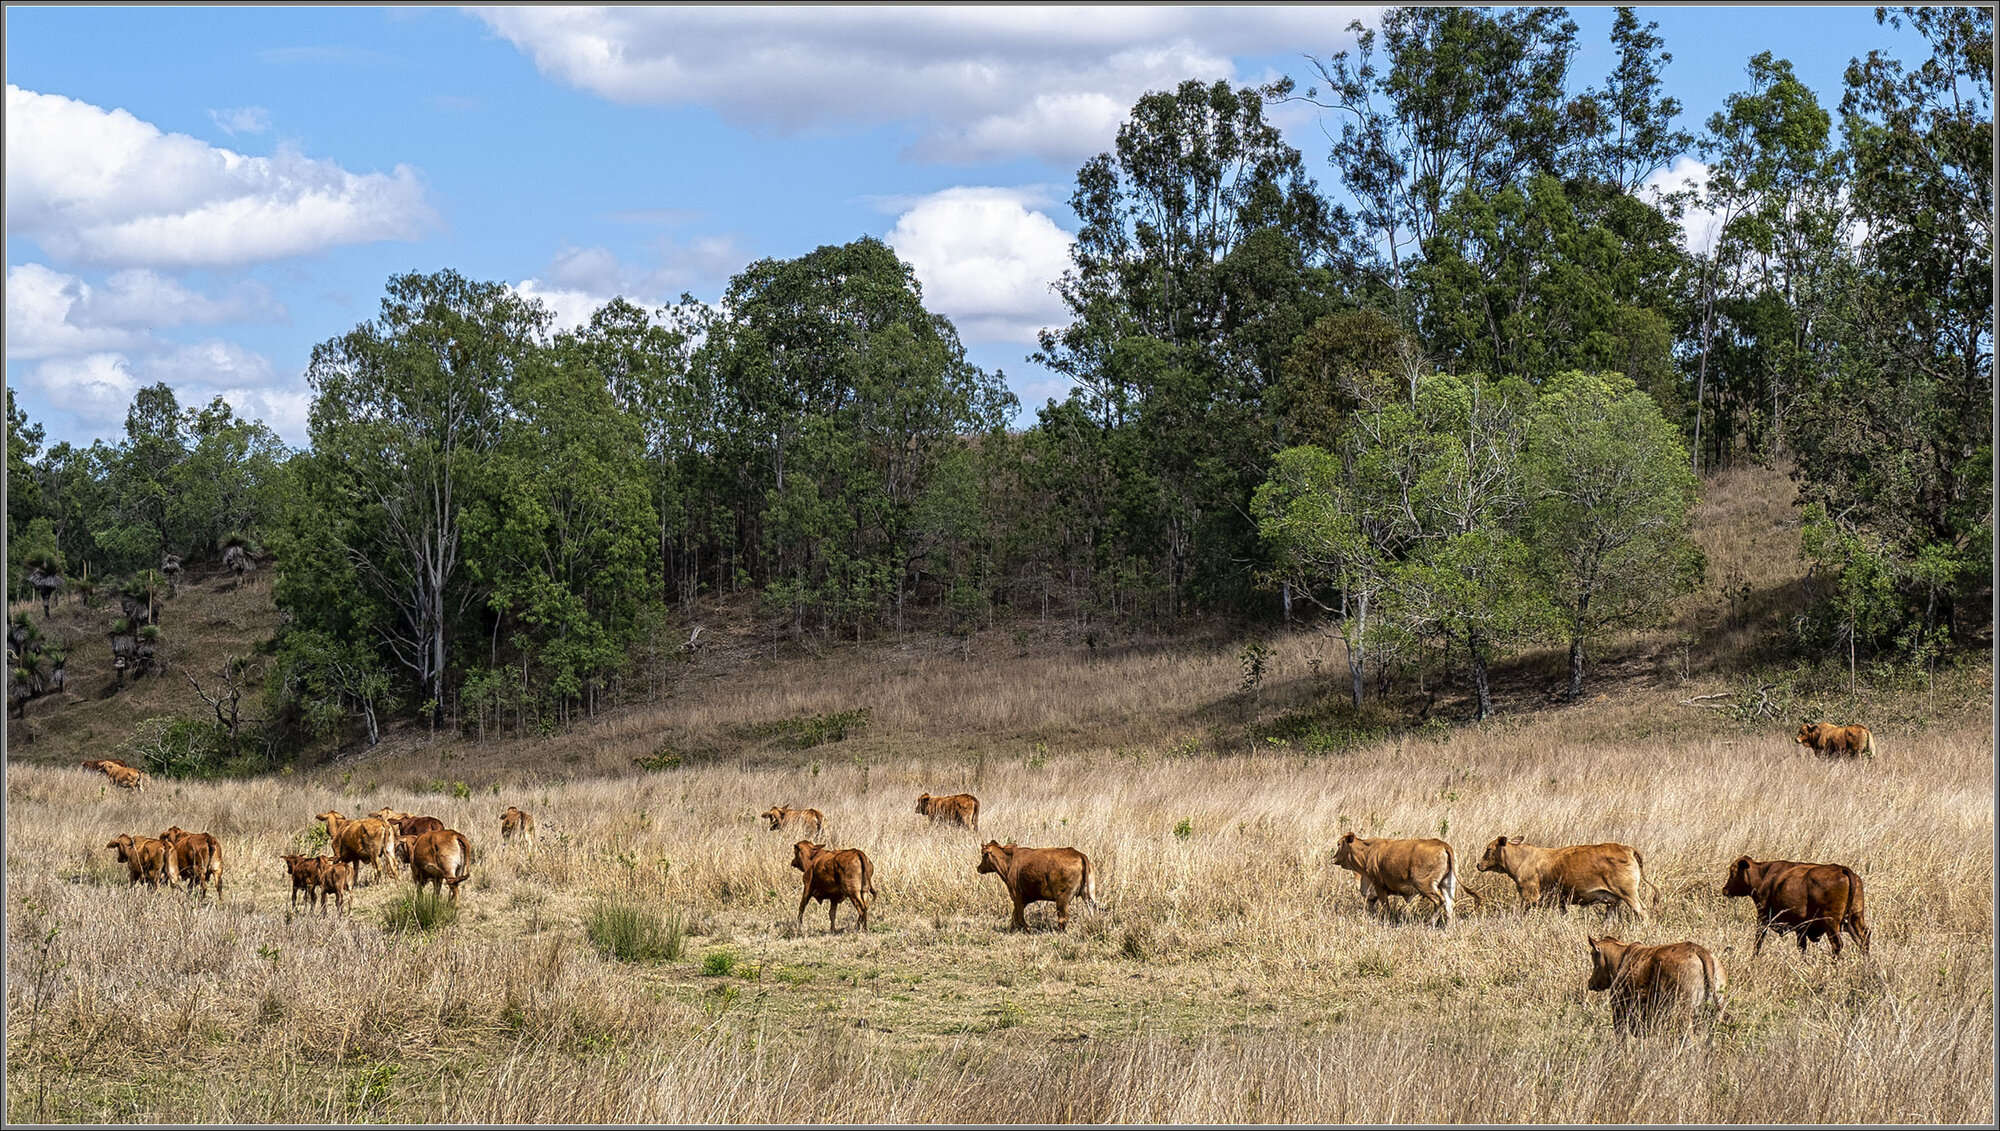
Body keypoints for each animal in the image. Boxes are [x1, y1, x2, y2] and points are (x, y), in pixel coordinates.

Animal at [976, 843, 1104, 931]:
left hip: (1062, 898)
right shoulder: (1023, 899)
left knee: (1063, 919)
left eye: (983, 855)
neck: (1009, 862)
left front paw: (1029, 929)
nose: (978, 868)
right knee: (1092, 910)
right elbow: (1015, 916)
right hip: (1088, 894)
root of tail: (1079, 854)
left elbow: (1019, 917)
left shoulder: (1016, 895)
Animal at [1336, 835, 1480, 931]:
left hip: (1425, 886)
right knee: (1449, 905)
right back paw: (1448, 927)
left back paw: (1431, 924)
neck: (1367, 852)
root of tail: (1442, 844)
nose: (1333, 858)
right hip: (1447, 885)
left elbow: (1385, 906)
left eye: (1338, 844)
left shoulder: (1379, 886)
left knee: (1439, 901)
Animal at [1472, 839, 1656, 927]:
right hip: (1614, 900)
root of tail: (1626, 848)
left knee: (1642, 911)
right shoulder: (1560, 902)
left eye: (1488, 849)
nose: (1479, 865)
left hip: (1629, 894)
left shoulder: (1528, 897)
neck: (1523, 859)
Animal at [1584, 935, 1728, 1039]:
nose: (1590, 982)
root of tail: (1700, 950)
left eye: (1593, 957)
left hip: (1684, 1015)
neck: (1620, 958)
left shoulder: (1619, 1015)